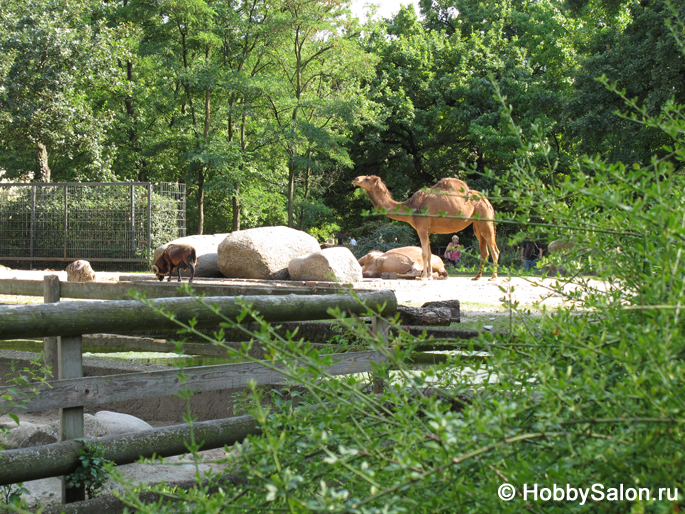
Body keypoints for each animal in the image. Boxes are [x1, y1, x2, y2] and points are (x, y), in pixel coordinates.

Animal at [352, 175, 496, 280]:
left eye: (368, 178)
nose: (356, 179)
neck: (410, 207)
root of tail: (487, 201)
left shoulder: (421, 228)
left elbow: (424, 253)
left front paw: (424, 276)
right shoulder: (427, 230)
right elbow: (429, 252)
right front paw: (428, 275)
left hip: (485, 220)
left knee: (494, 249)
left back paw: (493, 277)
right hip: (477, 225)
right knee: (484, 250)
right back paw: (477, 277)